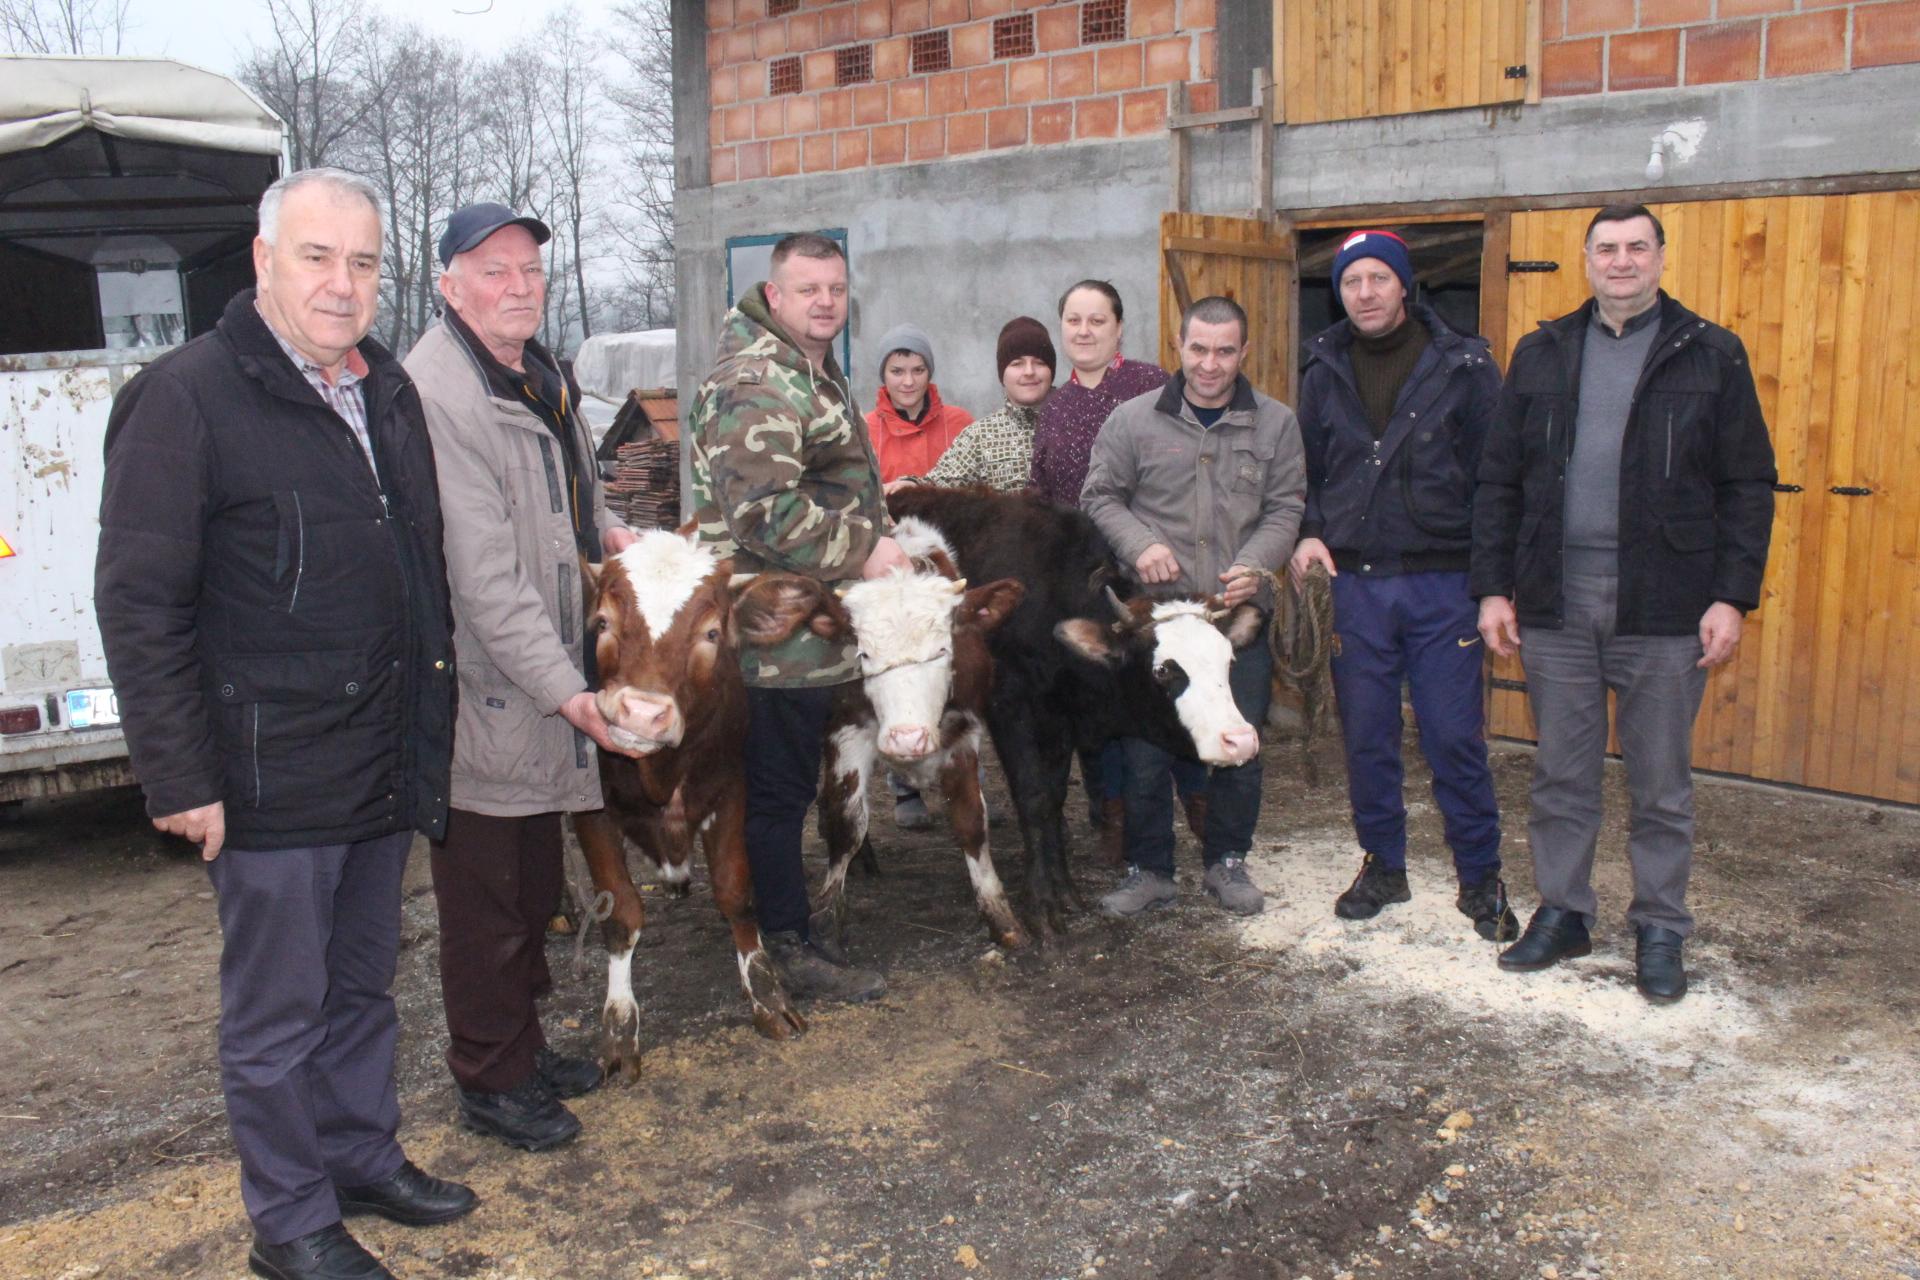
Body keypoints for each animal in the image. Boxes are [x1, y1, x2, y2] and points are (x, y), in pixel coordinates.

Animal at [564, 529, 844, 1082]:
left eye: (712, 633)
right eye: (603, 622)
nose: (642, 714)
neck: (662, 773)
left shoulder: (731, 787)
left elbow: (736, 892)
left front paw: (766, 995)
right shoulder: (593, 810)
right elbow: (621, 914)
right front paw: (619, 1028)